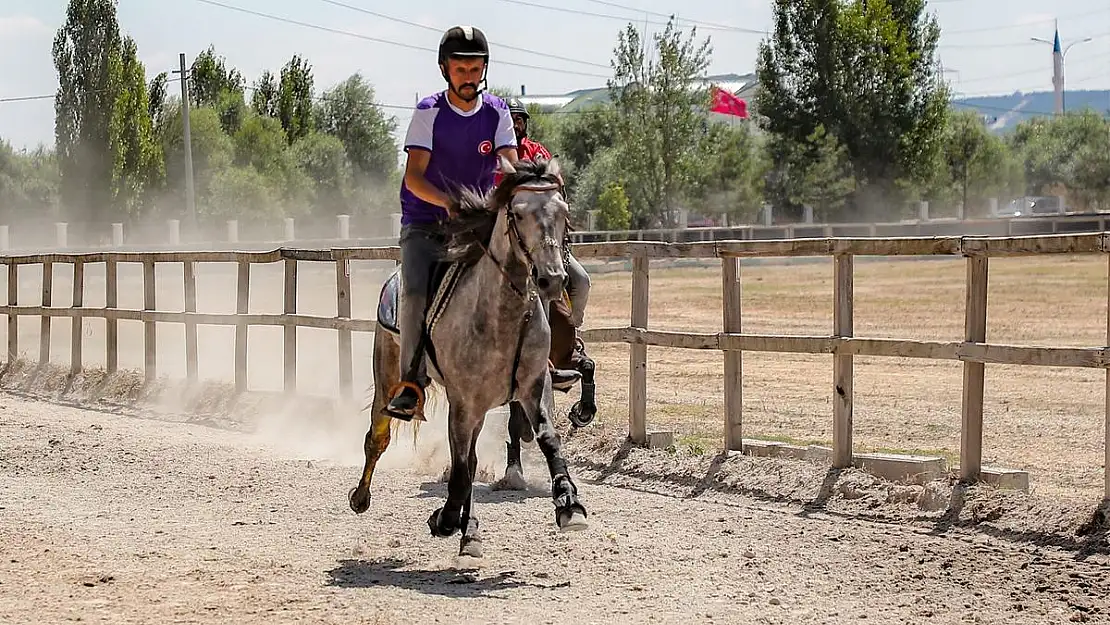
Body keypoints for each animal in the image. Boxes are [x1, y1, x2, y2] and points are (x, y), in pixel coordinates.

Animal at [346, 156, 590, 561]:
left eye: (563, 213)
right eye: (517, 214)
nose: (552, 279)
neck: (500, 317)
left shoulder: (534, 385)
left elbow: (547, 439)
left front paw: (569, 504)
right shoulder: (464, 401)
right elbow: (460, 469)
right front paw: (444, 520)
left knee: (472, 460)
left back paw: (470, 529)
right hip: (389, 376)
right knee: (378, 437)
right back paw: (361, 497)